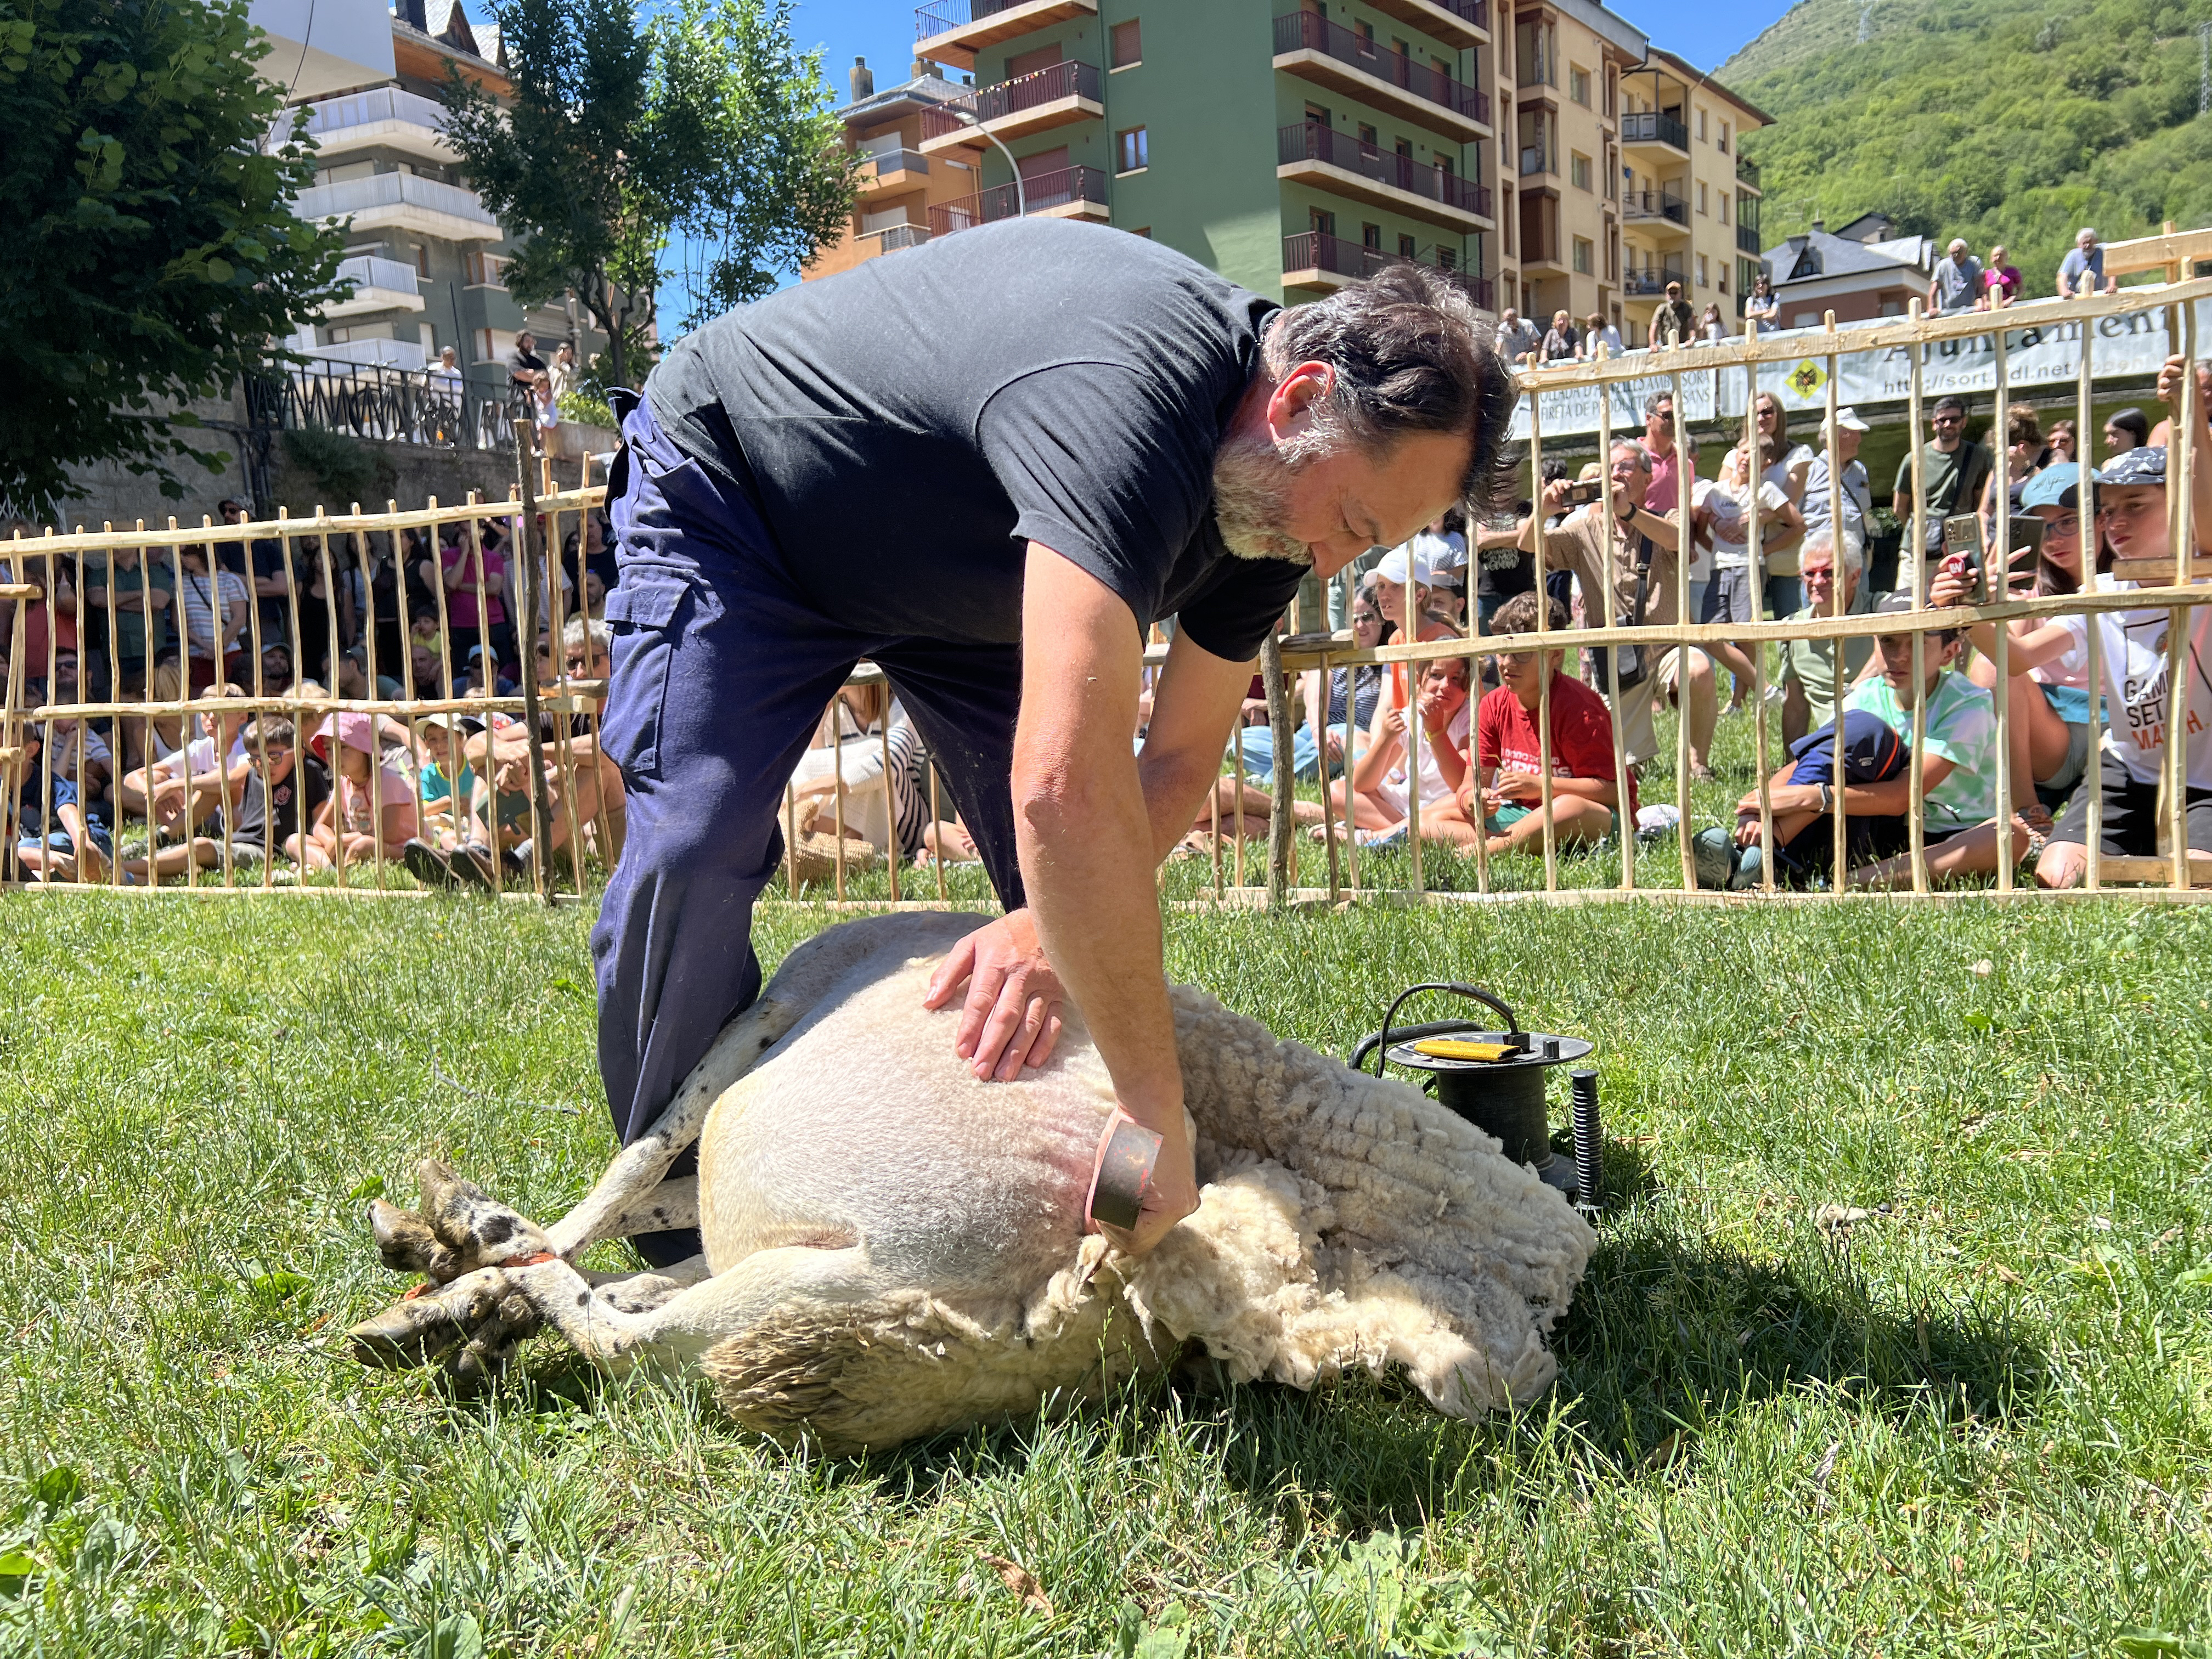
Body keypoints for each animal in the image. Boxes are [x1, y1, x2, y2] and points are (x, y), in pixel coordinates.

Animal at [345, 916, 1593, 1451]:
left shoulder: (767, 1015)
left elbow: (632, 1169)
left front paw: (464, 1246)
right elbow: (632, 1209)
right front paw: (456, 1288)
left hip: (823, 1262)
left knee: (627, 1317)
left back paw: (477, 1251)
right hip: (811, 1283)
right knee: (646, 1277)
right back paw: (465, 1295)